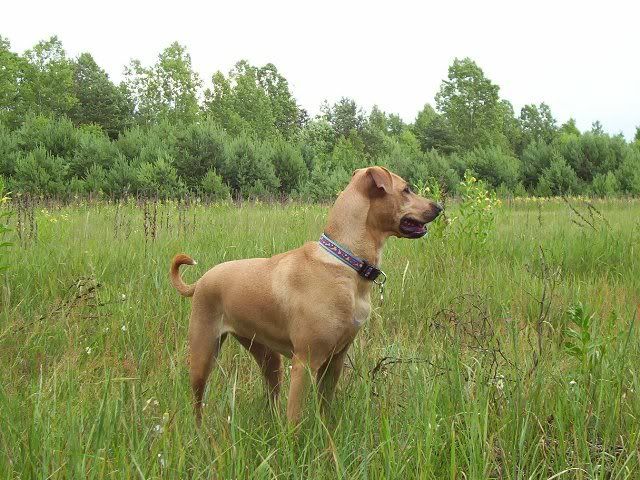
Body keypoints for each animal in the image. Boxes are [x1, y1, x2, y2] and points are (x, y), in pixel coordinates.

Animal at [170, 166, 442, 425]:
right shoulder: (305, 362)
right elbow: (295, 419)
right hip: (203, 355)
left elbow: (325, 409)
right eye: (406, 189)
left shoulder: (335, 361)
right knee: (197, 404)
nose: (438, 207)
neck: (346, 263)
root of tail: (201, 280)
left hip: (268, 358)